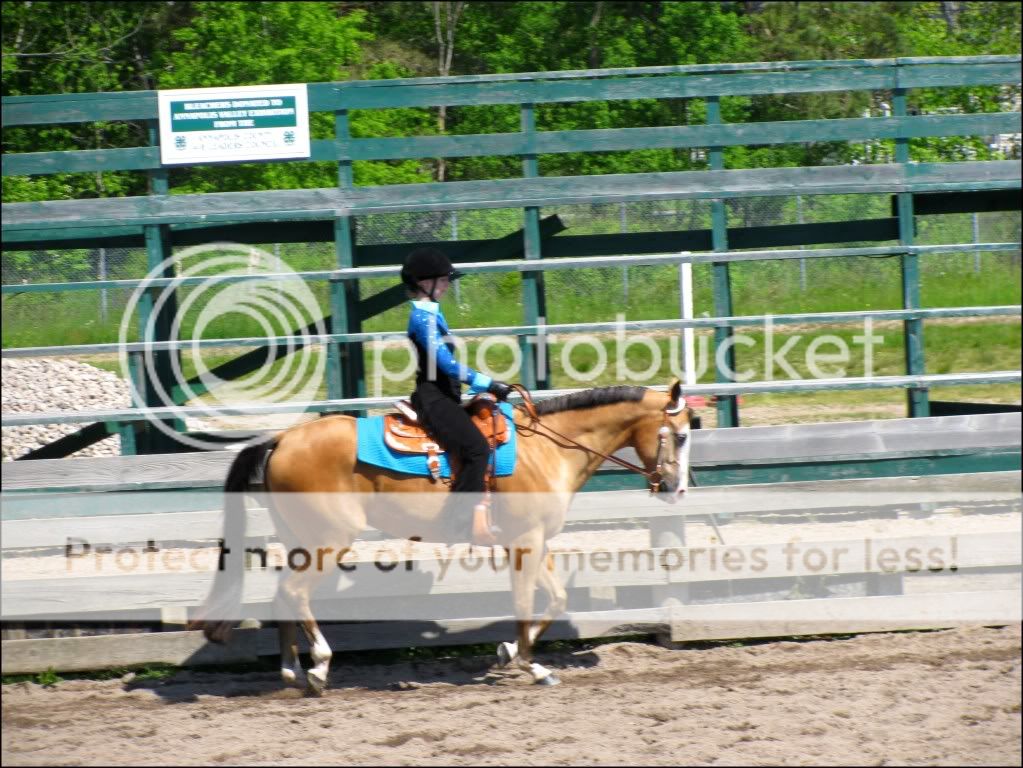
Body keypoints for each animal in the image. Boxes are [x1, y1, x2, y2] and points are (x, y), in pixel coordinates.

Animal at [192, 380, 695, 695]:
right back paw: (318, 666)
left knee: (282, 594)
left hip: (300, 538)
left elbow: (554, 600)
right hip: (329, 540)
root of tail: (281, 439)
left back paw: (291, 671)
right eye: (682, 436)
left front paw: (509, 652)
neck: (547, 449)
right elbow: (526, 602)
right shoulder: (526, 542)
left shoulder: (534, 542)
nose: (677, 489)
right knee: (296, 594)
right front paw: (531, 665)